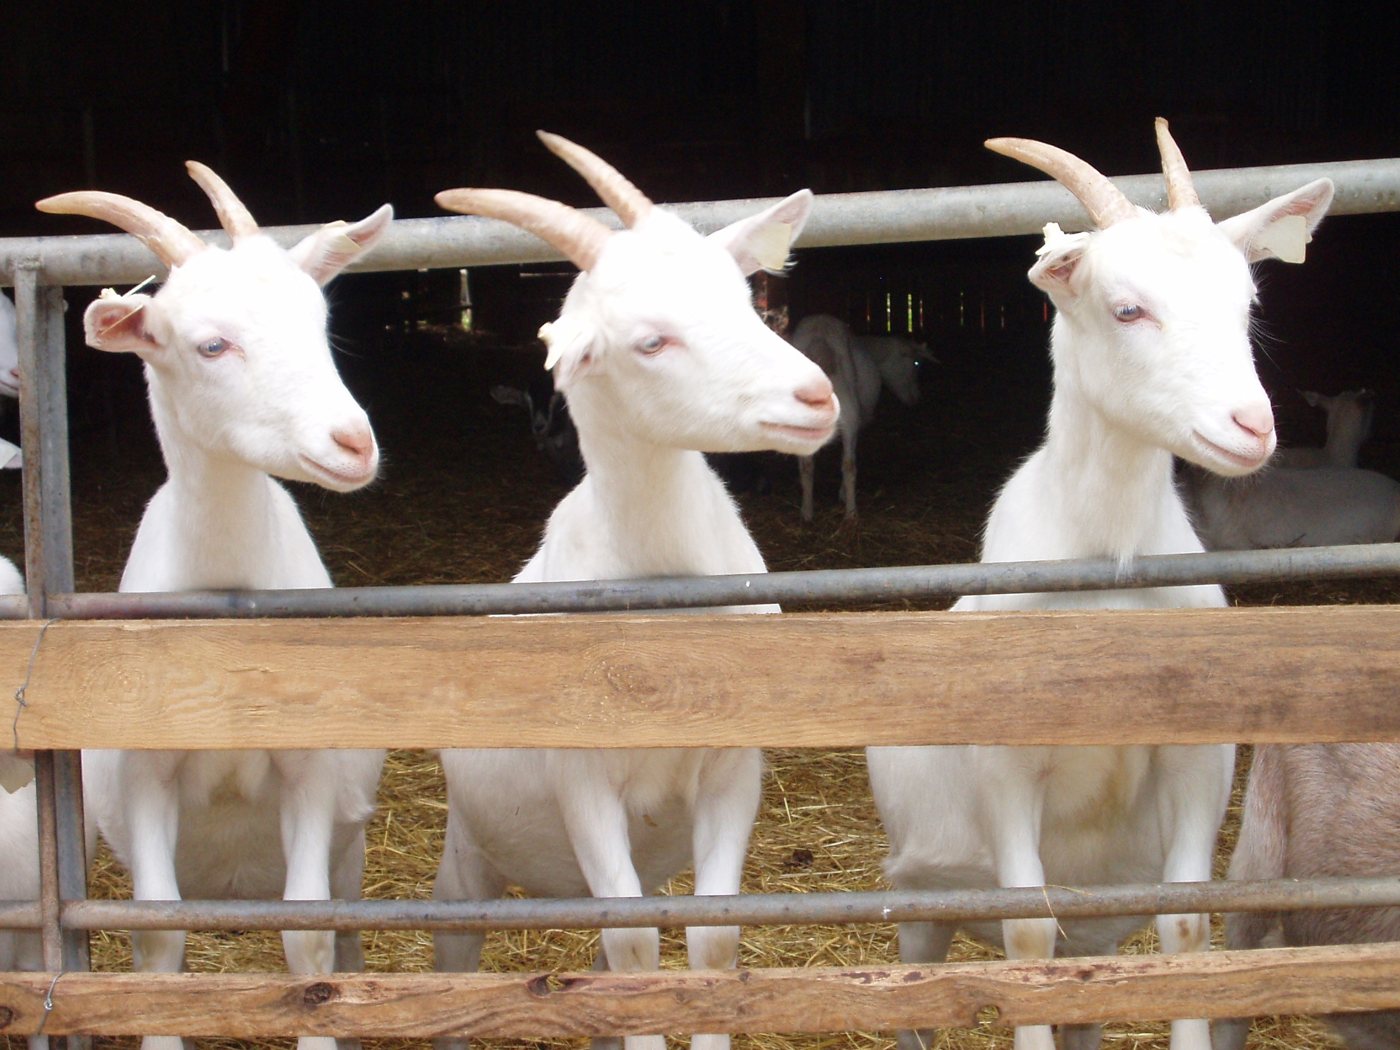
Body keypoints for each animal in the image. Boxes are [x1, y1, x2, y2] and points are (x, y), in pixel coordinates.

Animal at [38, 164, 392, 1050]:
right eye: (211, 344)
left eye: (319, 322)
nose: (352, 443)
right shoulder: (145, 777)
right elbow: (160, 936)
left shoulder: (311, 774)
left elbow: (308, 938)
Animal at [433, 132, 837, 1050]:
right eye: (652, 342)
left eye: (747, 300)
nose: (815, 396)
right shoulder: (582, 779)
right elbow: (632, 950)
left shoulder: (733, 766)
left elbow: (710, 941)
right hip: (468, 851)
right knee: (454, 945)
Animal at [791, 313, 925, 521]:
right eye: (915, 364)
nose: (916, 399)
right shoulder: (856, 424)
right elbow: (849, 463)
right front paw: (844, 497)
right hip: (850, 419)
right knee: (848, 466)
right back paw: (851, 514)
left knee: (807, 467)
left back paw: (807, 513)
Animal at [866, 120, 1333, 1050]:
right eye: (1127, 308)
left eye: (1247, 304)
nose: (1251, 426)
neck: (1107, 560)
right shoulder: (1007, 768)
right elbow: (1026, 935)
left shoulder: (1196, 763)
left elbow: (1185, 925)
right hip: (919, 895)